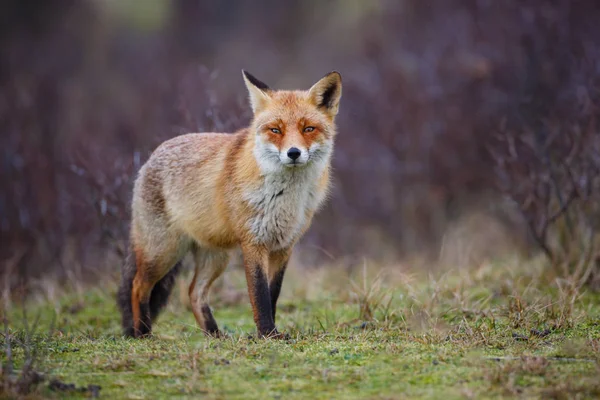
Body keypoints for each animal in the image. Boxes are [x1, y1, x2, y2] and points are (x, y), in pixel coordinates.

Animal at [118, 71, 342, 338]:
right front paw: (268, 334)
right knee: (138, 285)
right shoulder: (253, 242)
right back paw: (142, 333)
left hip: (216, 256)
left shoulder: (284, 246)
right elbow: (259, 295)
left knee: (194, 292)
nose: (294, 153)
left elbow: (273, 293)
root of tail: (151, 156)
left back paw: (214, 335)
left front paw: (270, 334)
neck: (284, 198)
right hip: (163, 251)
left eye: (308, 128)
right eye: (275, 130)